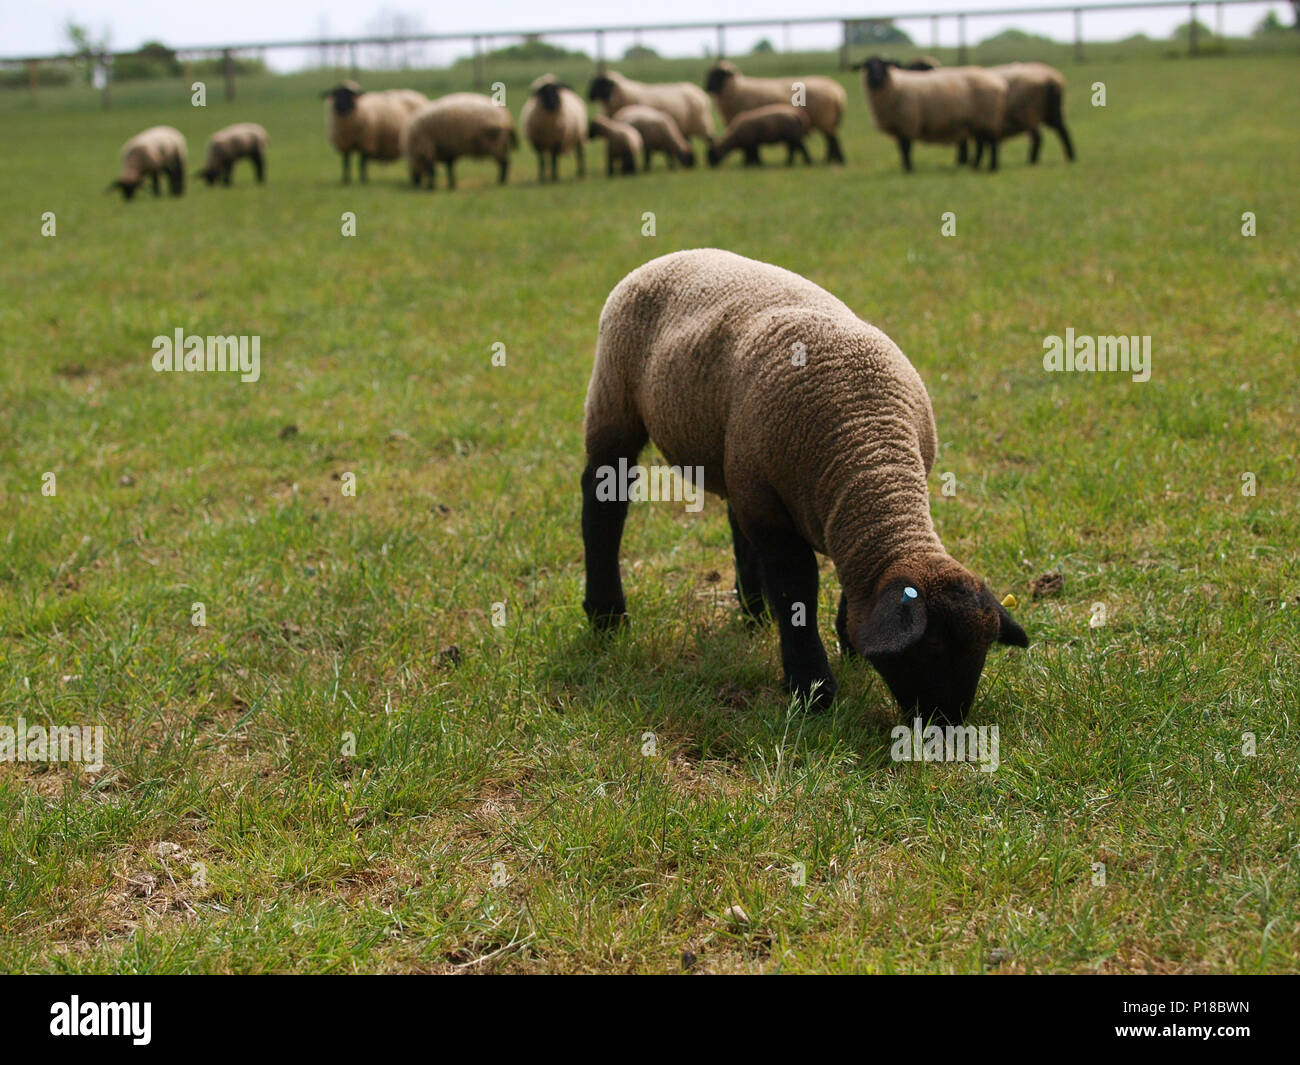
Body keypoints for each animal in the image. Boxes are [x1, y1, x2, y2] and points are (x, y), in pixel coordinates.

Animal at [581, 249, 1027, 721]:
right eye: (932, 651)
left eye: (981, 653)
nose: (947, 726)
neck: (872, 456)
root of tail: (671, 255)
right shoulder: (775, 515)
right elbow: (797, 589)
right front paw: (812, 689)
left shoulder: (820, 513)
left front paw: (848, 647)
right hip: (614, 397)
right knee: (602, 504)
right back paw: (606, 616)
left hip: (737, 461)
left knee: (735, 521)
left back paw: (754, 613)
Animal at [703, 60, 847, 164]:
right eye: (709, 74)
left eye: (719, 74)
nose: (707, 87)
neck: (737, 90)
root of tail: (838, 93)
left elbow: (750, 148)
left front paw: (750, 162)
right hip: (827, 120)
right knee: (831, 139)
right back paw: (832, 159)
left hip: (825, 119)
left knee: (832, 140)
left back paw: (833, 160)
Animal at [853, 56, 1007, 172]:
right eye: (866, 66)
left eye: (883, 65)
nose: (875, 78)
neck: (895, 86)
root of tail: (997, 83)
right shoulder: (899, 127)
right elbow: (901, 149)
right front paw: (905, 167)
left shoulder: (907, 123)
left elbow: (906, 148)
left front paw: (909, 169)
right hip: (978, 121)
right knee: (981, 143)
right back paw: (975, 166)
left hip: (986, 118)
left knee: (992, 142)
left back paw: (992, 167)